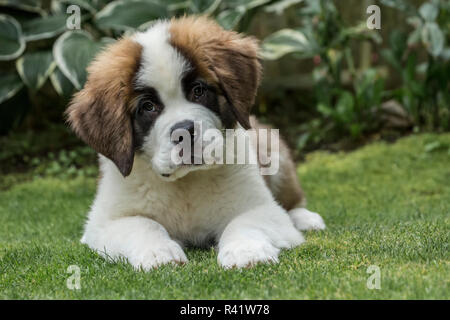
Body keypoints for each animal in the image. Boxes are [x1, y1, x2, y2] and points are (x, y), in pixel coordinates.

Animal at [67, 15, 326, 270]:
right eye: (148, 107)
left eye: (198, 91)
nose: (184, 132)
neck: (185, 183)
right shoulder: (102, 223)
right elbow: (142, 224)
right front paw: (158, 253)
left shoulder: (261, 207)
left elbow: (244, 222)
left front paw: (246, 251)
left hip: (273, 149)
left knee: (291, 201)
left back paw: (305, 218)